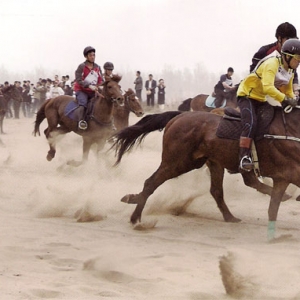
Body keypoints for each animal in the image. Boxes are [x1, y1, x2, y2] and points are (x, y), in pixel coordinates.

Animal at [111, 106, 298, 240]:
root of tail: (179, 117)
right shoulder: (289, 171)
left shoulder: (284, 175)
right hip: (177, 162)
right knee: (151, 182)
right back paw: (135, 217)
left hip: (206, 162)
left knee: (217, 190)